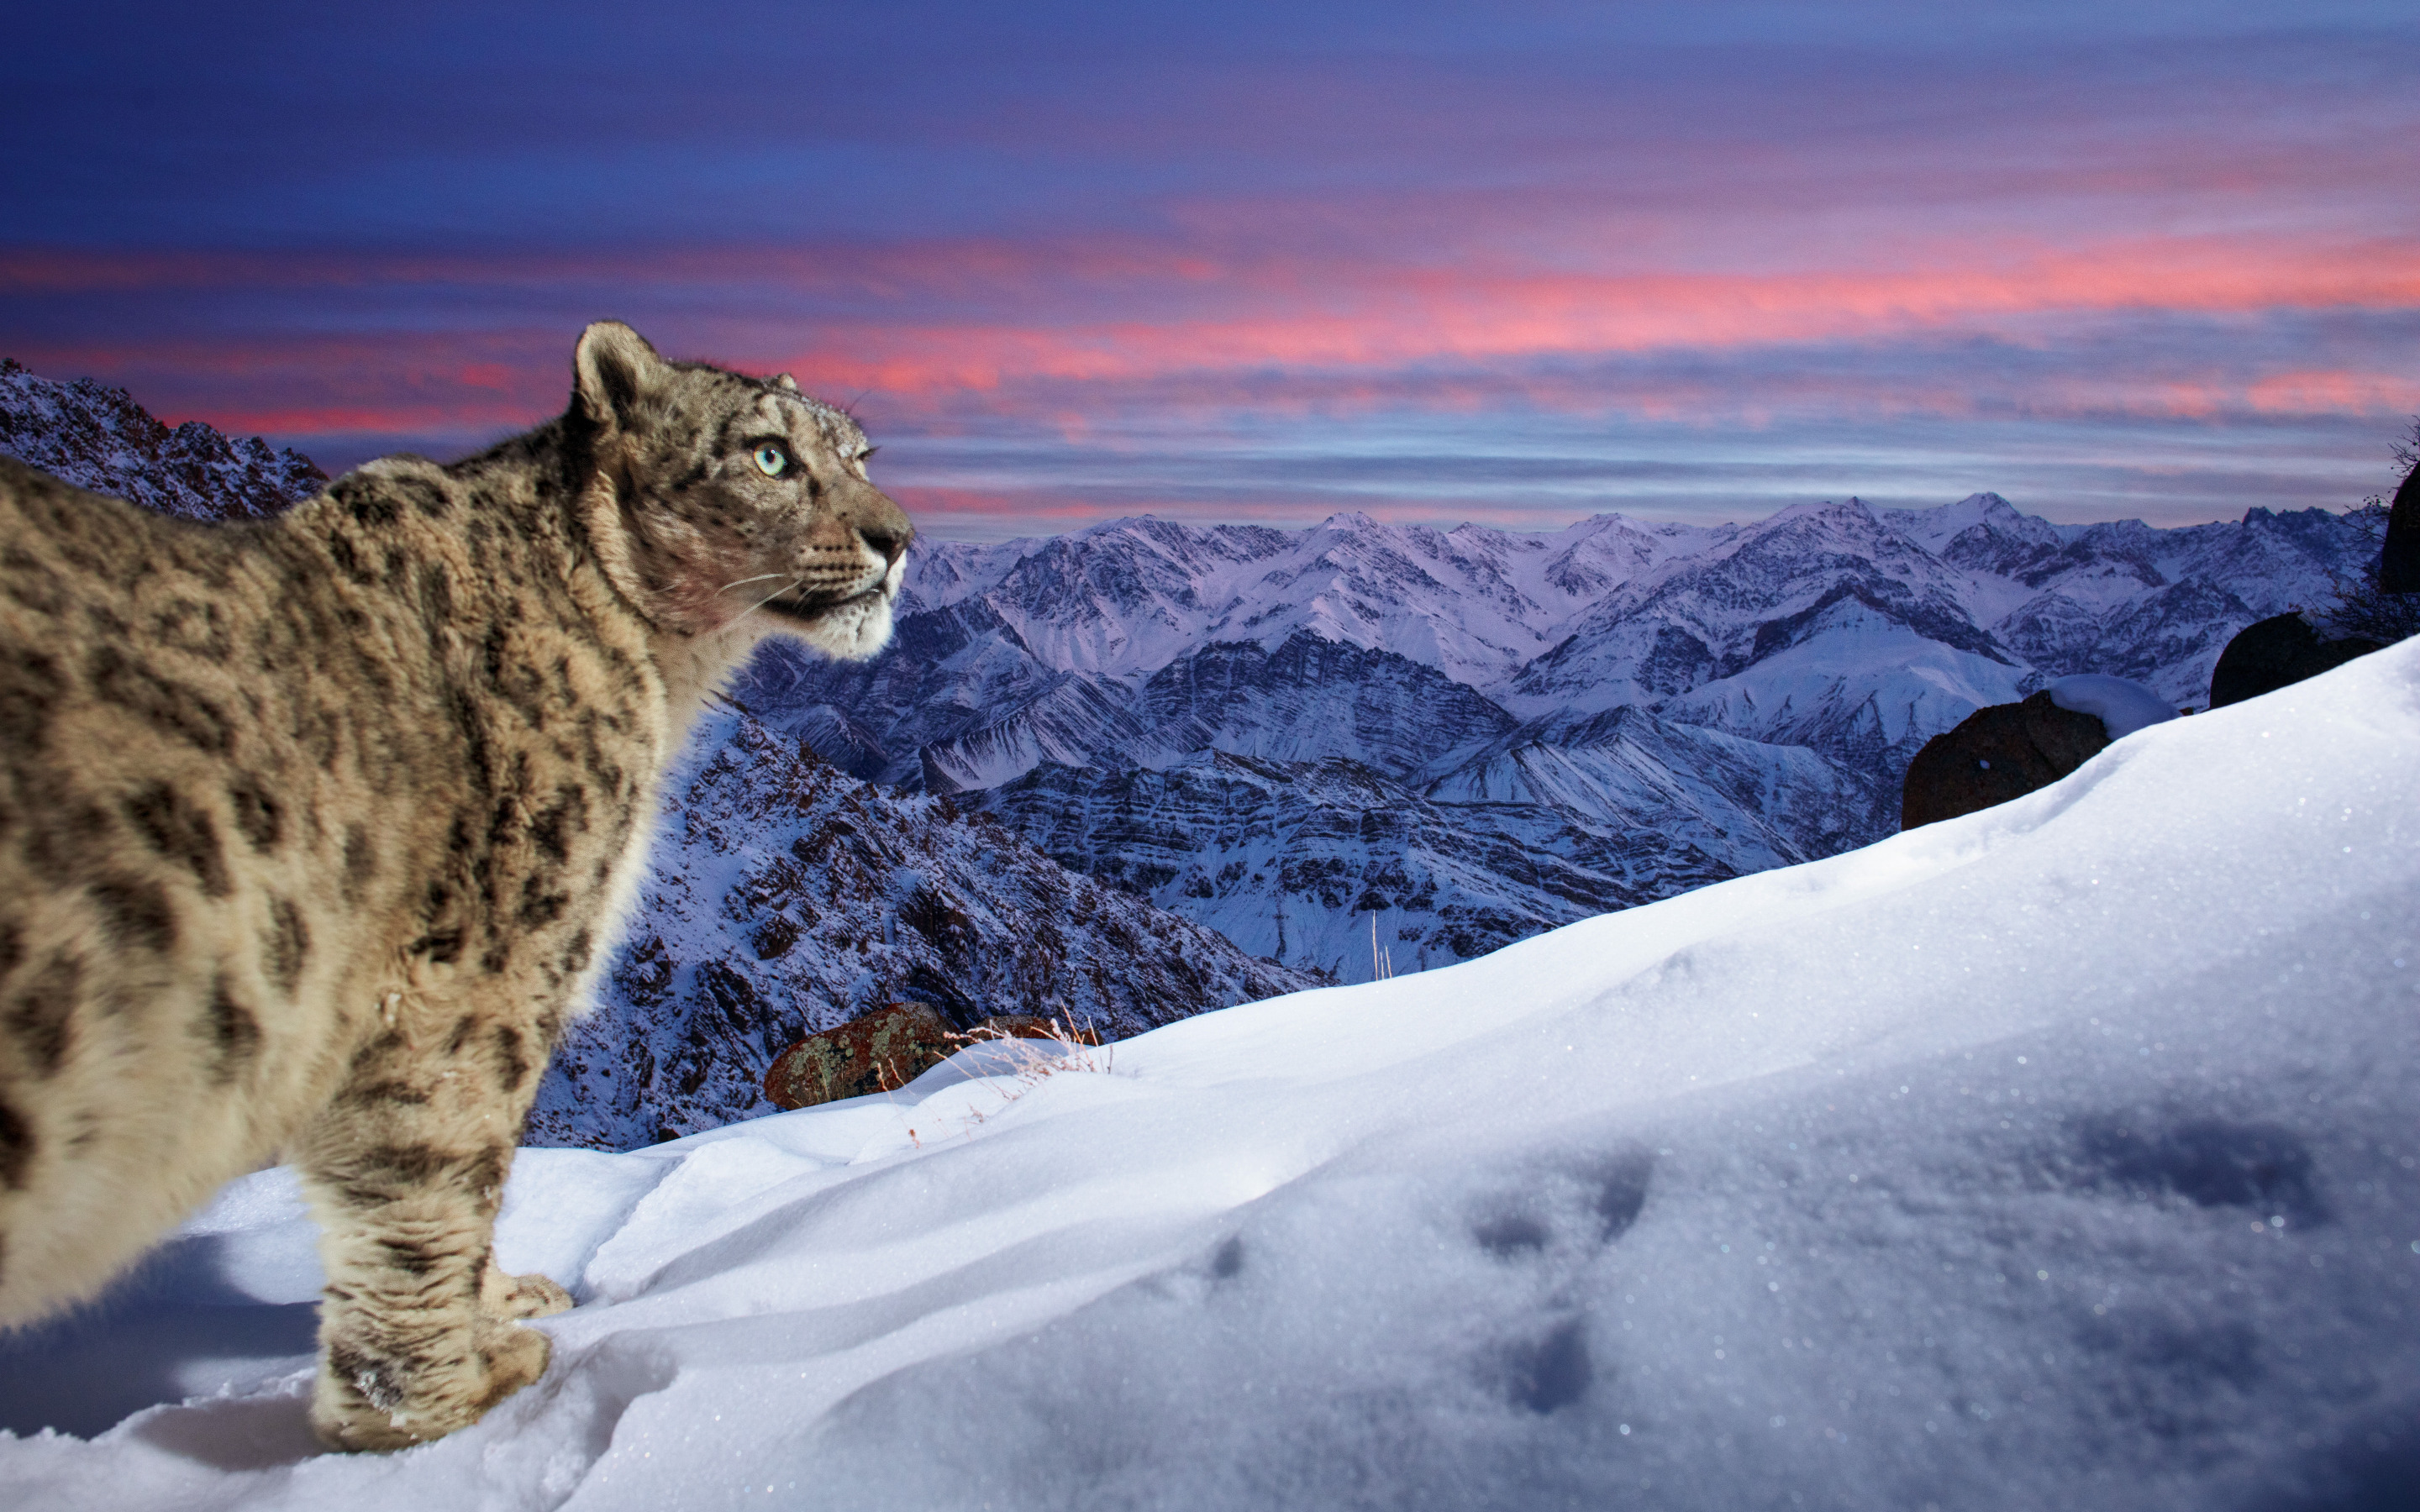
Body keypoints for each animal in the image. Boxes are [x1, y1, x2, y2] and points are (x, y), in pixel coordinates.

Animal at [0, 323, 909, 1441]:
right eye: (770, 455)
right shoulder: (483, 971)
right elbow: (439, 1173)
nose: (897, 538)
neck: (666, 677)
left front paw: (502, 1305)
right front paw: (447, 1401)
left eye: (859, 454)